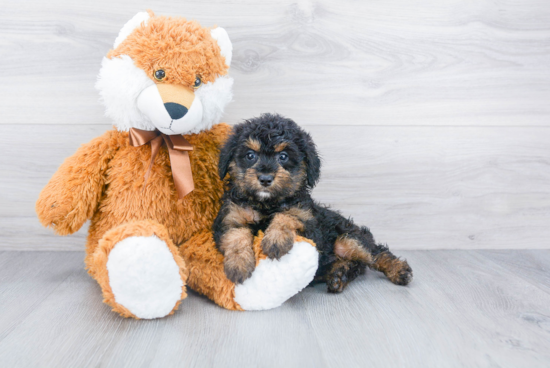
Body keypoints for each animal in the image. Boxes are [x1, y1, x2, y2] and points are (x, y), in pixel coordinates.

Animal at [213, 113, 412, 292]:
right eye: (250, 155)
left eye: (283, 156)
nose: (265, 178)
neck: (266, 204)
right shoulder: (230, 218)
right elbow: (236, 235)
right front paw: (238, 264)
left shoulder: (309, 223)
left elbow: (287, 215)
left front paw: (276, 239)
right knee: (356, 264)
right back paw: (339, 276)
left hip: (348, 238)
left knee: (374, 253)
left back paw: (398, 270)